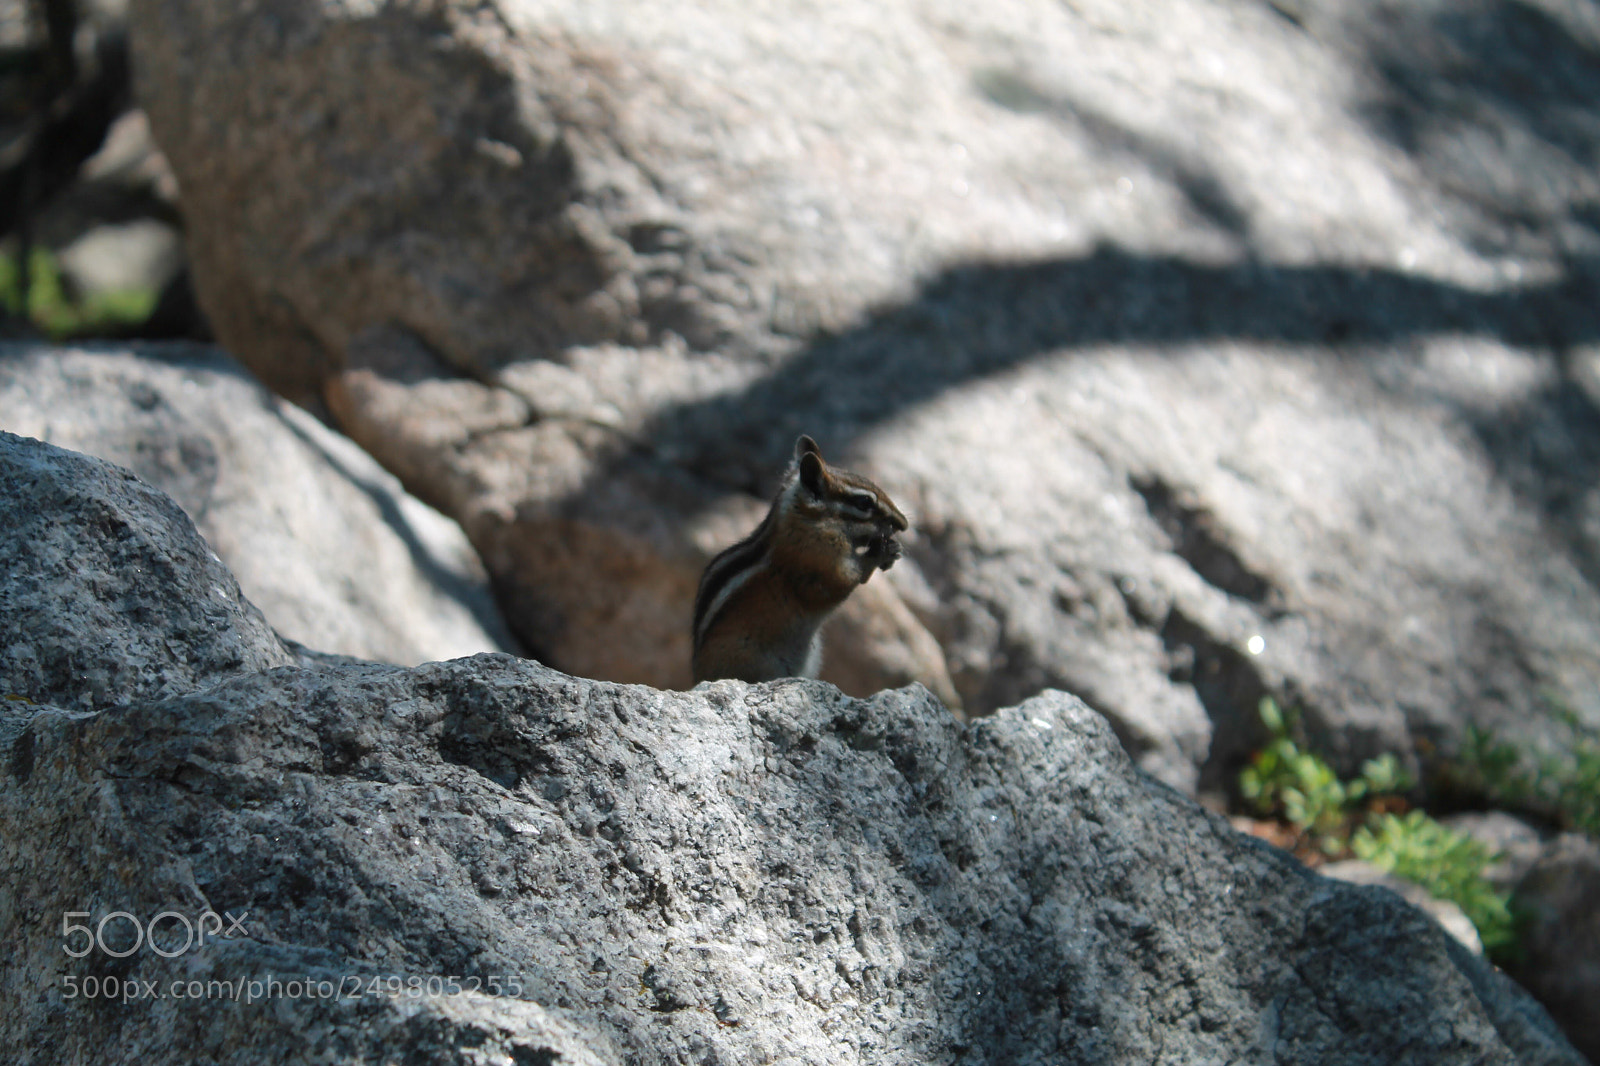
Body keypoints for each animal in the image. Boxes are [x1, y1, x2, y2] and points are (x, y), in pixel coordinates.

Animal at [692, 435, 908, 684]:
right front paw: (880, 553)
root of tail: (698, 677)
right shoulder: (820, 558)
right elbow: (844, 581)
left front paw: (892, 547)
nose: (904, 524)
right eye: (864, 503)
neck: (806, 521)